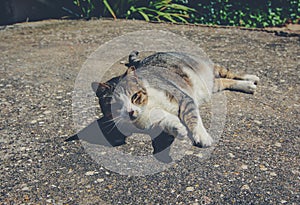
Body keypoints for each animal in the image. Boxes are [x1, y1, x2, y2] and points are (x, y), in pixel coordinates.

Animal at [92, 51, 258, 147]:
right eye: (116, 105)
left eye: (135, 96)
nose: (130, 112)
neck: (149, 104)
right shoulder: (153, 119)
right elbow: (166, 121)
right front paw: (179, 130)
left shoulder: (184, 98)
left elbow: (193, 118)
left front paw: (202, 136)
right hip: (209, 86)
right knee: (224, 81)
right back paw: (248, 85)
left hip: (211, 68)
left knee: (228, 73)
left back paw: (251, 78)